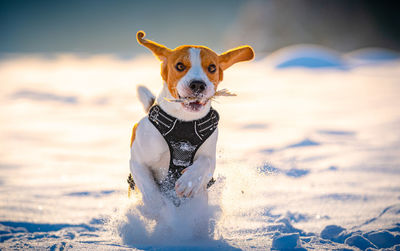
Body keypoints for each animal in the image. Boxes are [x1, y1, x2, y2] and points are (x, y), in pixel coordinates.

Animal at [129, 30, 253, 212]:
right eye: (180, 66)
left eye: (212, 68)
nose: (198, 85)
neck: (184, 122)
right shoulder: (137, 161)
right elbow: (148, 187)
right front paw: (157, 208)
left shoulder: (209, 155)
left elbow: (206, 162)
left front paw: (189, 182)